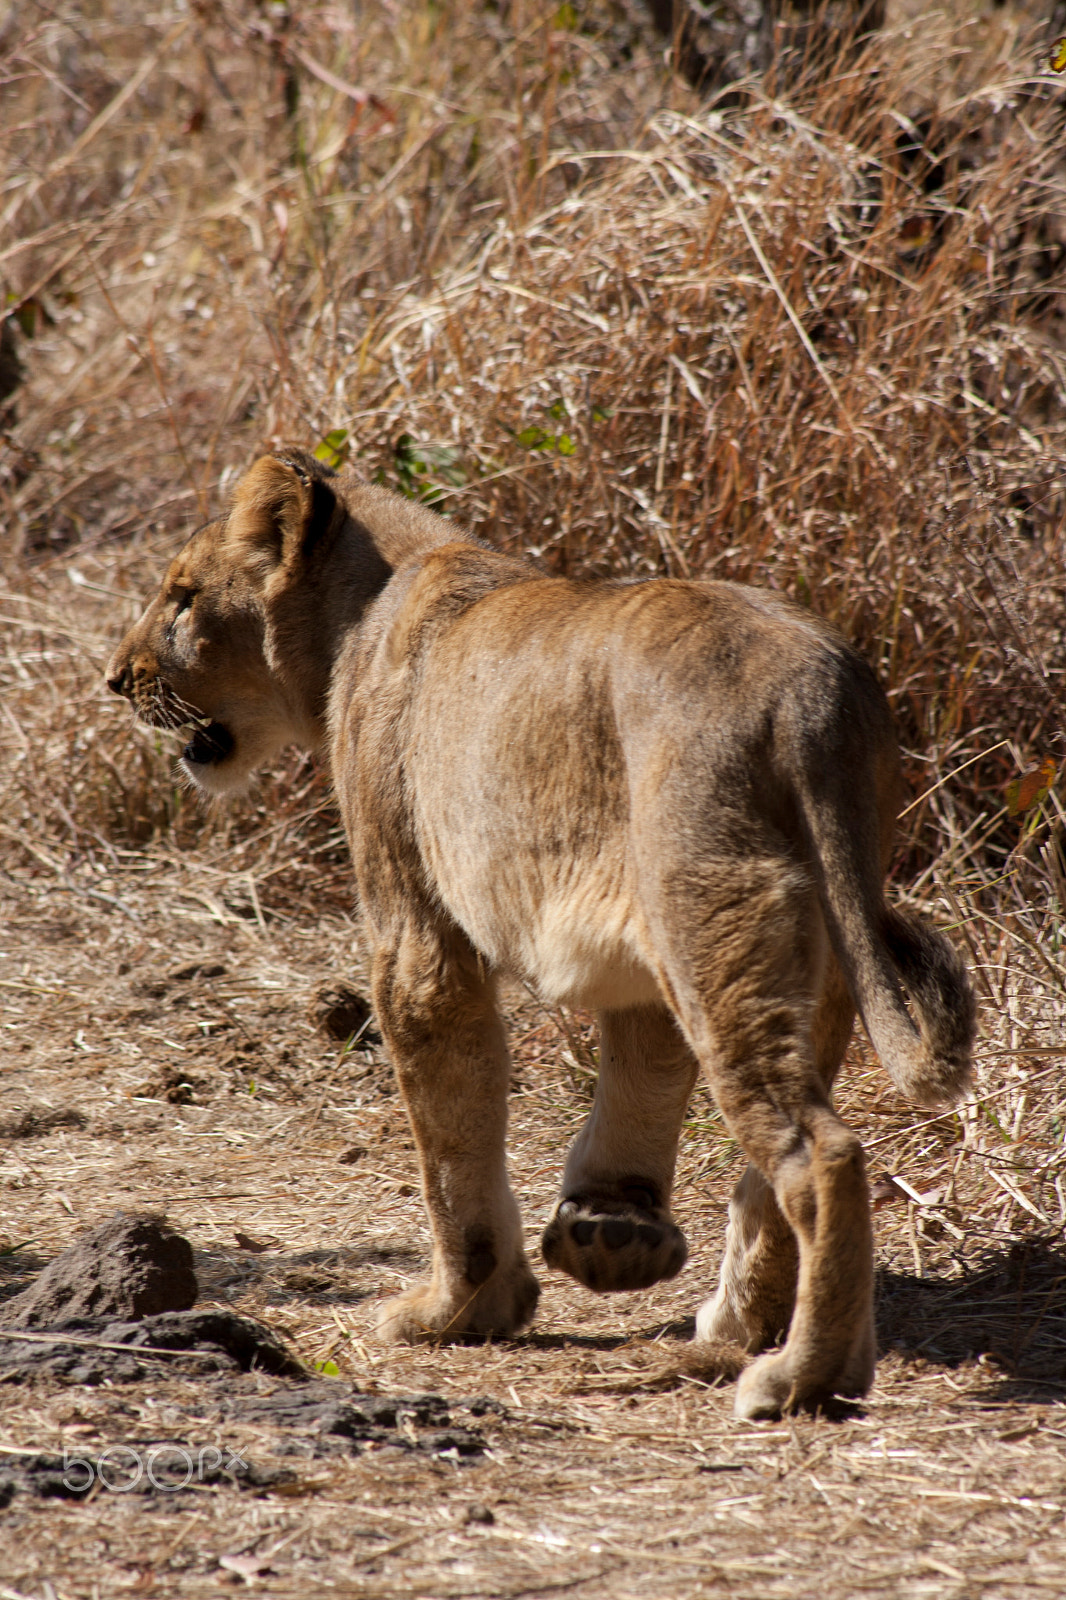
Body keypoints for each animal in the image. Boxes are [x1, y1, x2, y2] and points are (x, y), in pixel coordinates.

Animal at [105, 444, 973, 1420]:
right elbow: (640, 1072)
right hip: (799, 947)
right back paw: (743, 1324)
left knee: (823, 1154)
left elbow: (450, 1136)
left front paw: (458, 1307)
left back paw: (800, 1378)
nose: (117, 678)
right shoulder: (632, 940)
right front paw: (608, 1229)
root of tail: (814, 696)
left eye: (182, 597)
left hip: (709, 923)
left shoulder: (416, 927)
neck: (362, 596)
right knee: (774, 1160)